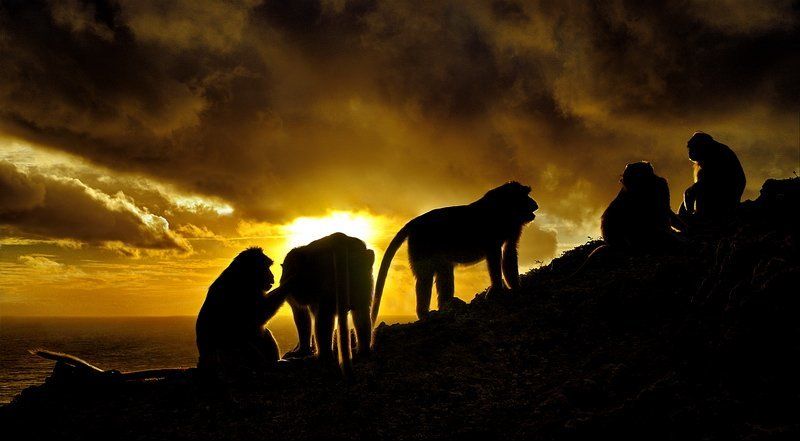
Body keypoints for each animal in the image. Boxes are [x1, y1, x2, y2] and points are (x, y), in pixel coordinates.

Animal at [195, 247, 289, 377]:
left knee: (262, 333)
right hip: (223, 357)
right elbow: (258, 316)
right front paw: (289, 283)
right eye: (266, 267)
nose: (272, 276)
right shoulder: (243, 291)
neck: (243, 276)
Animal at [279, 233, 376, 377]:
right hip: (362, 270)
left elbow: (300, 312)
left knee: (324, 315)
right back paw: (363, 351)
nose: (281, 279)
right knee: (361, 310)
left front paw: (302, 350)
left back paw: (323, 357)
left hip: (327, 272)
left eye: (286, 270)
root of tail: (340, 239)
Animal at [372, 181, 538, 321]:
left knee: (443, 271)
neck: (505, 207)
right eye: (526, 195)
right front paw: (497, 290)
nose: (535, 205)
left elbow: (509, 250)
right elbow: (494, 254)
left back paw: (446, 307)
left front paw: (516, 288)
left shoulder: (515, 225)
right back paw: (424, 314)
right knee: (425, 276)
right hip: (421, 244)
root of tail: (415, 222)